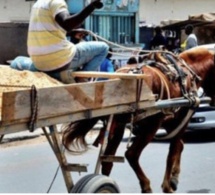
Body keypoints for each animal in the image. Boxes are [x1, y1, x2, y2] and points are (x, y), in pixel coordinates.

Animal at [61, 46, 215, 193]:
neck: (187, 71)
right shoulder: (182, 119)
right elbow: (173, 150)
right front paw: (168, 185)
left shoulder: (171, 123)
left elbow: (180, 146)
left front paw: (174, 178)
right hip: (151, 125)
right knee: (131, 154)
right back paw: (145, 185)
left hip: (118, 124)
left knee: (108, 160)